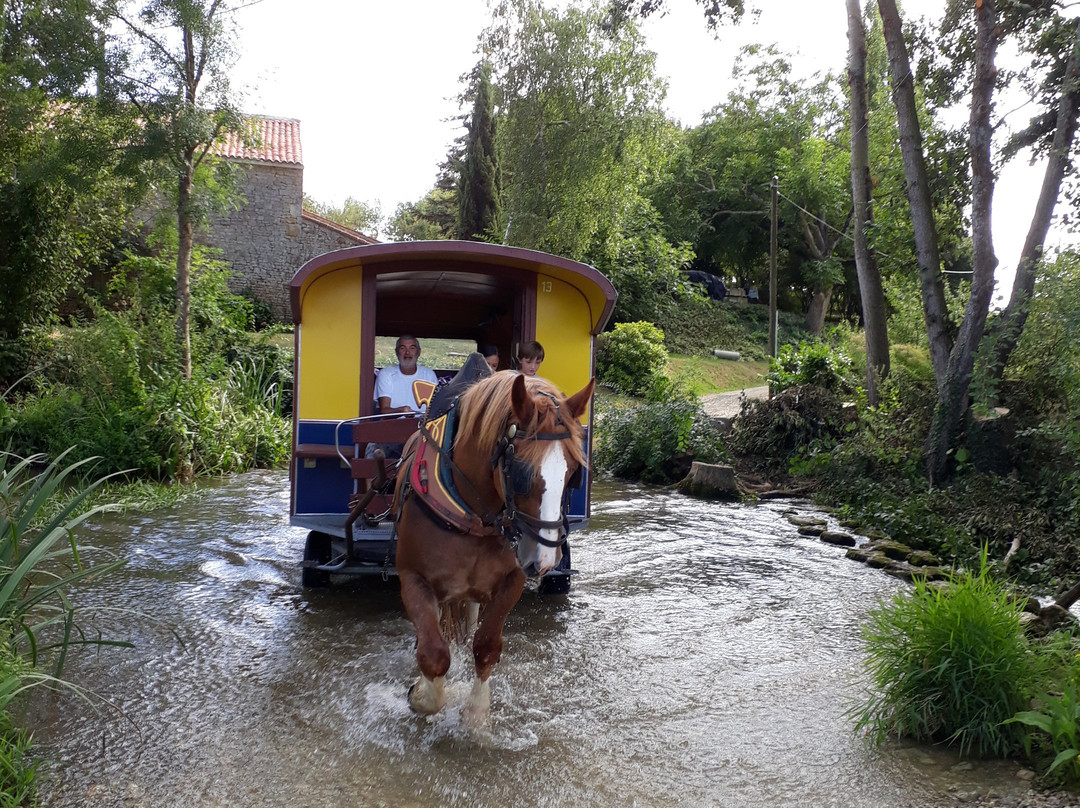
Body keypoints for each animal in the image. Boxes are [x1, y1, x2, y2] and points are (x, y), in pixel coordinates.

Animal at [393, 371, 596, 725]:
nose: (544, 560)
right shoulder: (412, 578)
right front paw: (421, 694)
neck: (470, 511)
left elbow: (486, 646)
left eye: (573, 473)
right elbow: (434, 655)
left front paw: (476, 713)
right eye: (521, 472)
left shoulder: (512, 580)